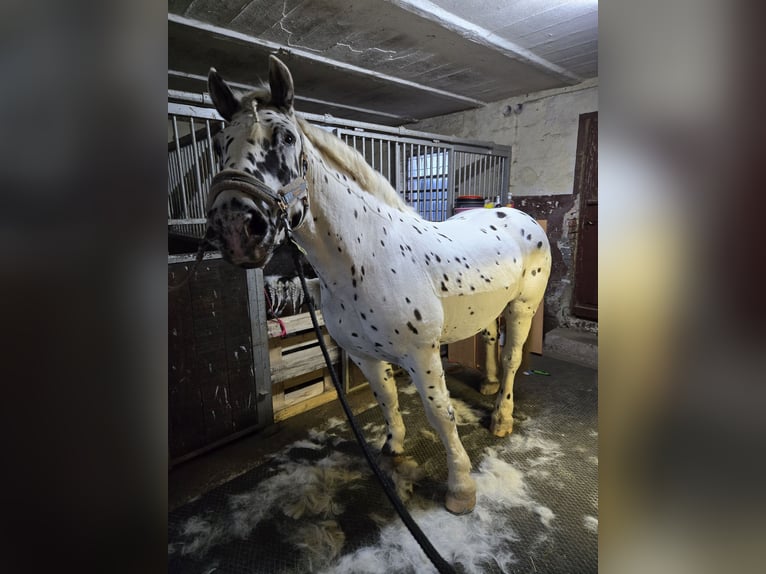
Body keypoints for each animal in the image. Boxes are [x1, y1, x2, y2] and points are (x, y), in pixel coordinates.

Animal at [204, 56, 552, 516]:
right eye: (218, 144)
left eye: (286, 137)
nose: (235, 228)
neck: (366, 257)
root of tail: (519, 215)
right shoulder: (364, 354)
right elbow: (386, 398)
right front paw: (393, 449)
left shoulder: (422, 354)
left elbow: (441, 415)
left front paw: (460, 489)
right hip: (492, 308)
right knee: (493, 343)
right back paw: (489, 385)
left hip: (523, 307)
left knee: (513, 357)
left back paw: (501, 417)